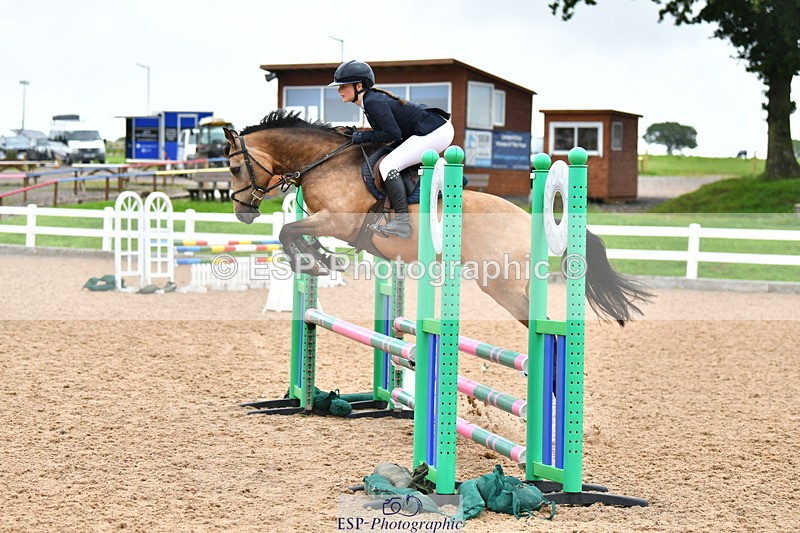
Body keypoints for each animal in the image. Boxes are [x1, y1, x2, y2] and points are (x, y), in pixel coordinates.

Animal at [223, 109, 651, 326]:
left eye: (235, 169)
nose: (242, 212)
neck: (326, 162)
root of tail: (530, 223)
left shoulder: (337, 222)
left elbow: (287, 232)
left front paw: (315, 264)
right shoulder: (329, 224)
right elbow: (295, 234)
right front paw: (321, 260)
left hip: (503, 286)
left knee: (541, 326)